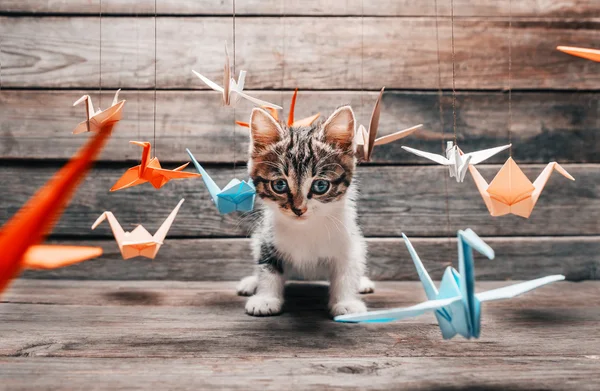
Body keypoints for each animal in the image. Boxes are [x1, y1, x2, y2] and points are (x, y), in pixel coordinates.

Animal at [236, 105, 372, 318]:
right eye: (280, 185)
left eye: (321, 186)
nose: (299, 209)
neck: (306, 227)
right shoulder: (268, 238)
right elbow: (268, 267)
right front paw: (265, 298)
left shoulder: (347, 242)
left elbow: (346, 271)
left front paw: (346, 302)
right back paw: (251, 282)